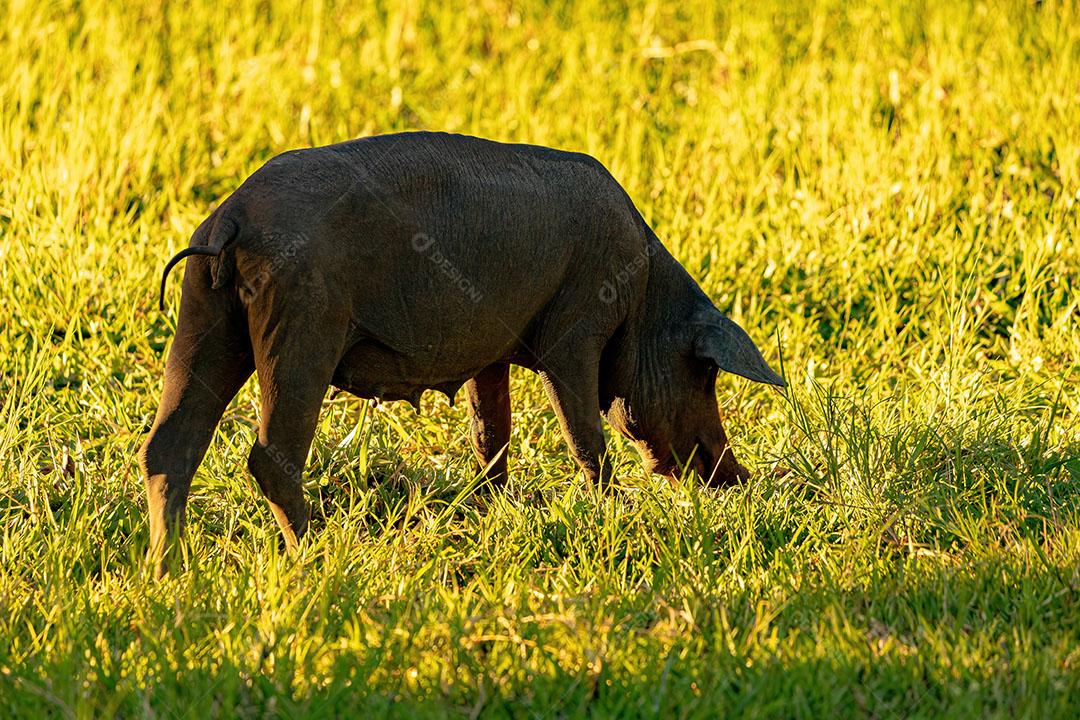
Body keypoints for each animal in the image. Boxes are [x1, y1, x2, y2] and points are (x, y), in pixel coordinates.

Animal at [141, 129, 786, 569]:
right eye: (705, 373)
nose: (739, 477)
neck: (646, 291)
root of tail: (232, 218)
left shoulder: (492, 353)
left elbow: (490, 431)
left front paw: (495, 504)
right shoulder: (576, 331)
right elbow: (585, 434)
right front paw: (611, 508)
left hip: (205, 315)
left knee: (168, 446)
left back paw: (168, 570)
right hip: (302, 323)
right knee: (269, 457)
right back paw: (320, 554)